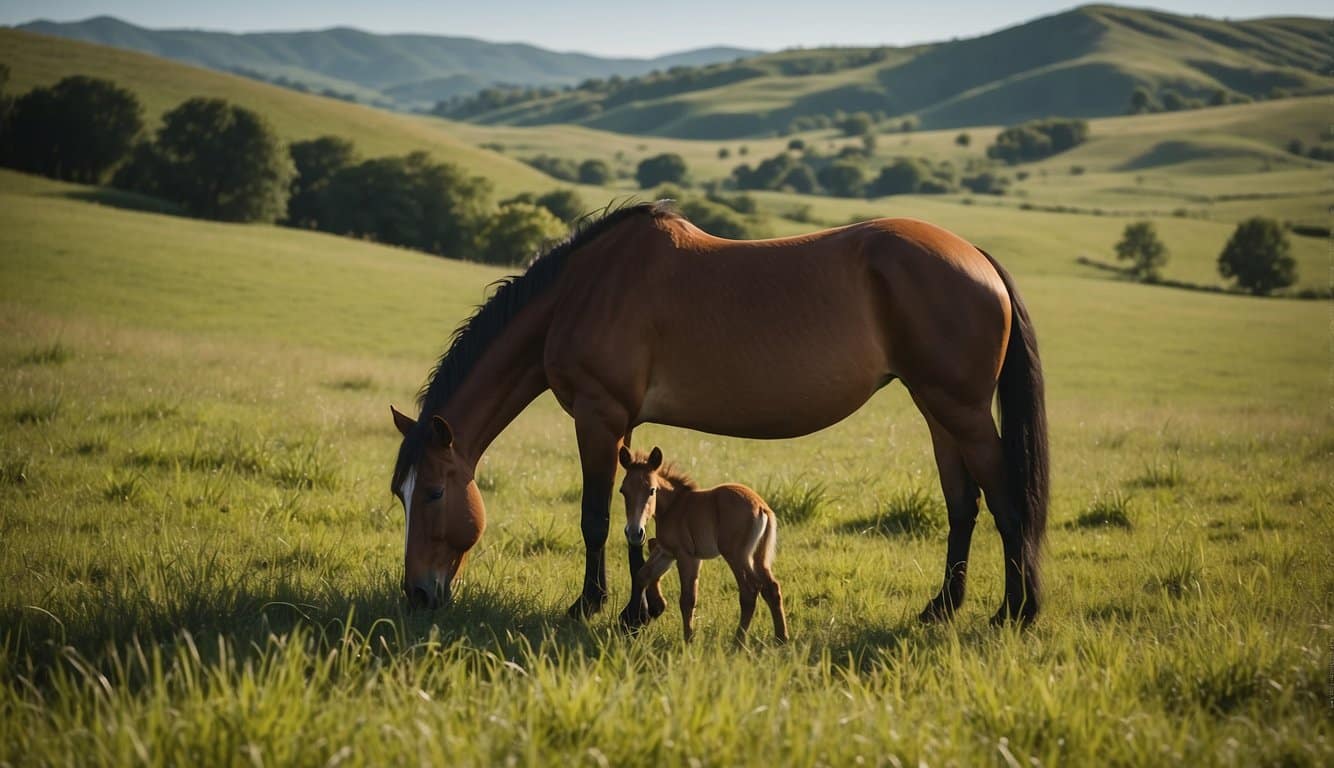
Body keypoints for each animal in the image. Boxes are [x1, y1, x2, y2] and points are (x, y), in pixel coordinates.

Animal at [618, 442, 784, 642]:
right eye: (623, 491)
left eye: (652, 490)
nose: (635, 533)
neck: (674, 506)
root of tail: (761, 507)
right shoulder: (668, 553)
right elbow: (643, 574)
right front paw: (641, 617)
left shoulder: (686, 556)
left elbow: (687, 599)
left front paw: (688, 639)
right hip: (759, 557)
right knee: (771, 588)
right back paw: (781, 638)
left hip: (737, 556)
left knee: (750, 592)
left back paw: (738, 641)